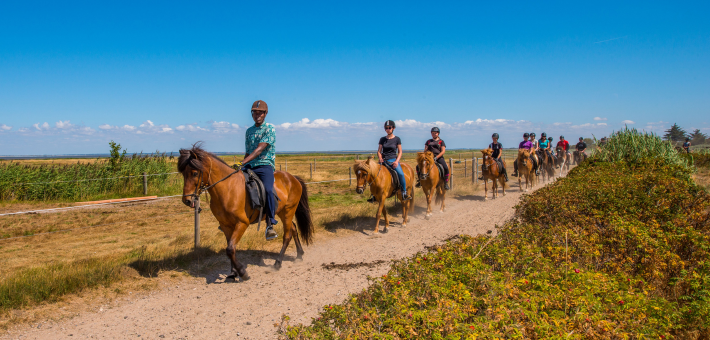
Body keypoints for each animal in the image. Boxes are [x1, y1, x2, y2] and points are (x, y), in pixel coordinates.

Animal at [177, 142, 312, 280]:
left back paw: (277, 263)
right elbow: (230, 248)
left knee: (287, 235)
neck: (228, 189)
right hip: (281, 212)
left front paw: (242, 272)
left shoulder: (242, 223)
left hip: (288, 211)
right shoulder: (225, 225)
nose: (187, 200)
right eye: (183, 173)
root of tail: (292, 178)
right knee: (293, 229)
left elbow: (230, 248)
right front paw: (233, 273)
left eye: (194, 173)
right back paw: (299, 255)